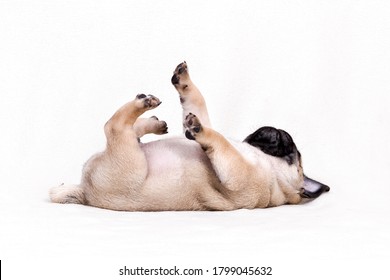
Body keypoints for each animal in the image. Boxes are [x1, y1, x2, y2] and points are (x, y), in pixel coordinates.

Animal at [48, 61, 330, 210]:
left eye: (293, 153)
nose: (280, 131)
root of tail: (85, 192)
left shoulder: (240, 175)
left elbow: (218, 140)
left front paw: (199, 130)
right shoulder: (208, 122)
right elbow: (198, 103)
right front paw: (184, 82)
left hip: (129, 162)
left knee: (114, 127)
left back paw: (144, 105)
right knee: (129, 131)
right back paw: (153, 122)